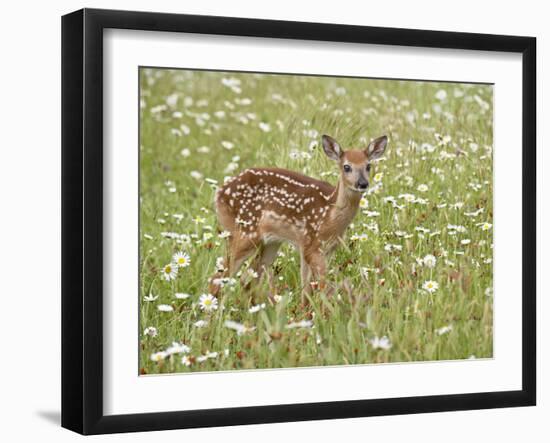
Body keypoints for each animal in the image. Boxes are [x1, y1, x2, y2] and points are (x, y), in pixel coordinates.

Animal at [209, 134, 390, 304]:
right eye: (347, 167)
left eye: (368, 166)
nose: (363, 183)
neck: (330, 217)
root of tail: (219, 193)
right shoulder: (310, 244)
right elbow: (321, 287)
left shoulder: (325, 248)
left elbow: (307, 290)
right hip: (244, 232)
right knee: (217, 278)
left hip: (270, 242)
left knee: (247, 279)